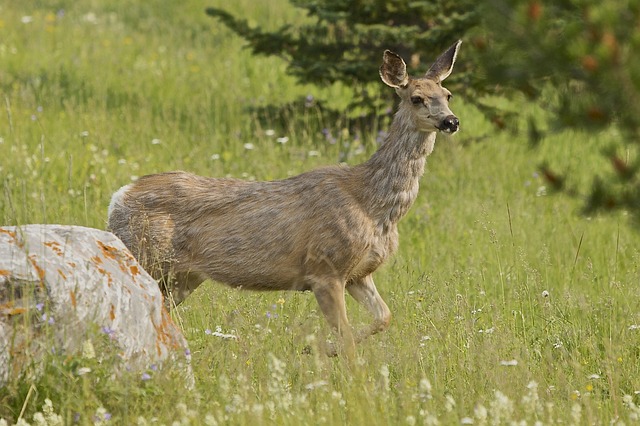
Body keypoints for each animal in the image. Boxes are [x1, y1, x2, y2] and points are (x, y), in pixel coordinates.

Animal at [107, 41, 462, 358]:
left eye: (447, 95)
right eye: (417, 98)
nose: (451, 121)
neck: (373, 205)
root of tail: (118, 197)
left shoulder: (359, 273)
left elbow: (384, 317)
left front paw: (318, 349)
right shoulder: (325, 268)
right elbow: (348, 339)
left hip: (183, 276)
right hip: (143, 254)